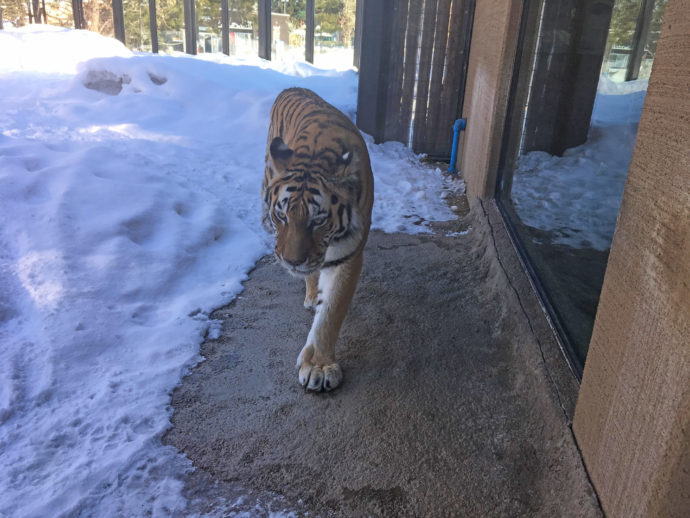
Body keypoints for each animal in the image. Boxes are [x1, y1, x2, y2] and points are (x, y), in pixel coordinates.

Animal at [262, 87, 370, 392]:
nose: (292, 261)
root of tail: (292, 88)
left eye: (318, 221)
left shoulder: (347, 254)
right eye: (281, 215)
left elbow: (331, 311)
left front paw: (319, 366)